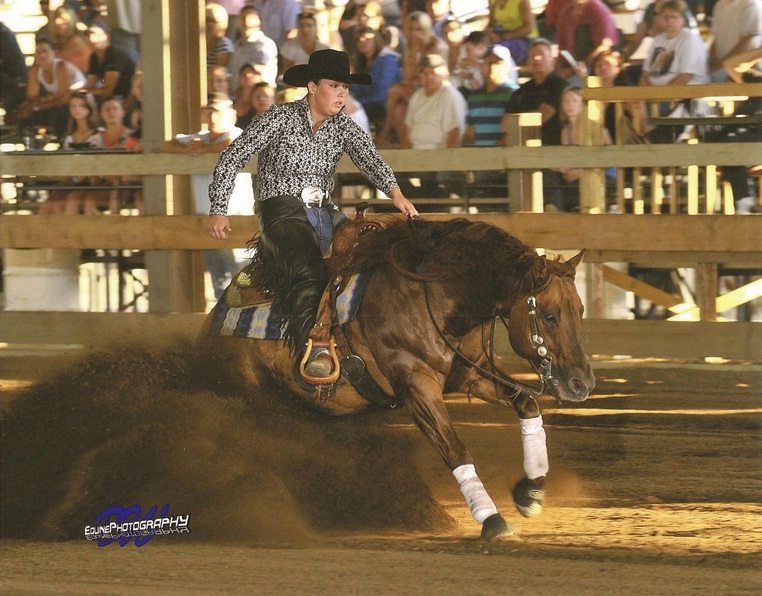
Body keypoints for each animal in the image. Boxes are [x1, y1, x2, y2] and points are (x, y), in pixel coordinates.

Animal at [198, 215, 595, 540]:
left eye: (580, 310)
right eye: (549, 315)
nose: (582, 383)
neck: (435, 296)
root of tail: (213, 320)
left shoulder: (473, 373)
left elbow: (526, 403)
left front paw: (531, 492)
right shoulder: (417, 386)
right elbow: (454, 448)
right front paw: (492, 519)